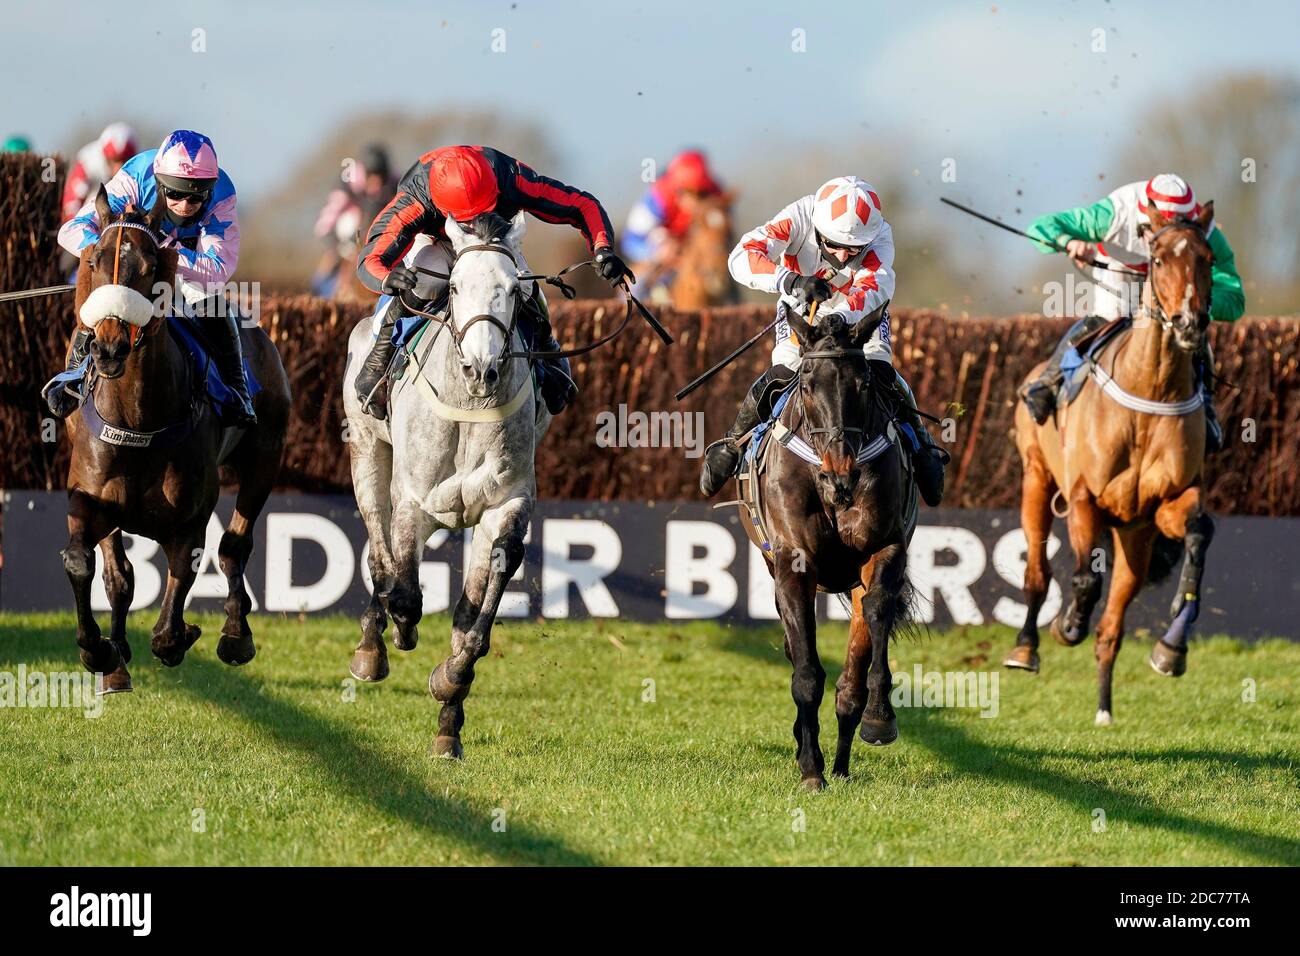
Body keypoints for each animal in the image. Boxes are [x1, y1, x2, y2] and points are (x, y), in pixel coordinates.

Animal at [62, 187, 291, 691]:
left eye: (151, 266)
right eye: (93, 260)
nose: (109, 348)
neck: (138, 421)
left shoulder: (190, 520)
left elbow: (169, 627)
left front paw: (187, 632)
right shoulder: (88, 497)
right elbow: (84, 563)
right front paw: (98, 650)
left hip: (264, 459)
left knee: (234, 546)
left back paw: (235, 634)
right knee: (121, 575)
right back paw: (117, 658)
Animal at [340, 213, 548, 759]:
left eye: (515, 290)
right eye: (454, 287)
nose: (481, 368)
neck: (469, 406)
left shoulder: (505, 504)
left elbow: (474, 614)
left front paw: (450, 694)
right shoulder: (414, 501)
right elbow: (405, 593)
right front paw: (399, 633)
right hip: (367, 453)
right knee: (379, 551)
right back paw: (372, 648)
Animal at [748, 306, 920, 790]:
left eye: (863, 384)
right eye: (807, 384)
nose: (840, 474)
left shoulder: (885, 547)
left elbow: (877, 612)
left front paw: (880, 717)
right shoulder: (792, 562)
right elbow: (805, 672)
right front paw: (810, 767)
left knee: (850, 681)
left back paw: (842, 762)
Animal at [1003, 201, 1216, 723]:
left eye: (1208, 258)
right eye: (1157, 259)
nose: (1189, 323)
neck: (1150, 388)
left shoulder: (1165, 504)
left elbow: (1199, 531)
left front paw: (1171, 649)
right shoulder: (1083, 496)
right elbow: (1081, 578)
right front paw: (1067, 623)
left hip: (1133, 540)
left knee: (1113, 628)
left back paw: (1104, 706)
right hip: (1036, 479)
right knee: (1037, 574)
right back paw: (1027, 646)